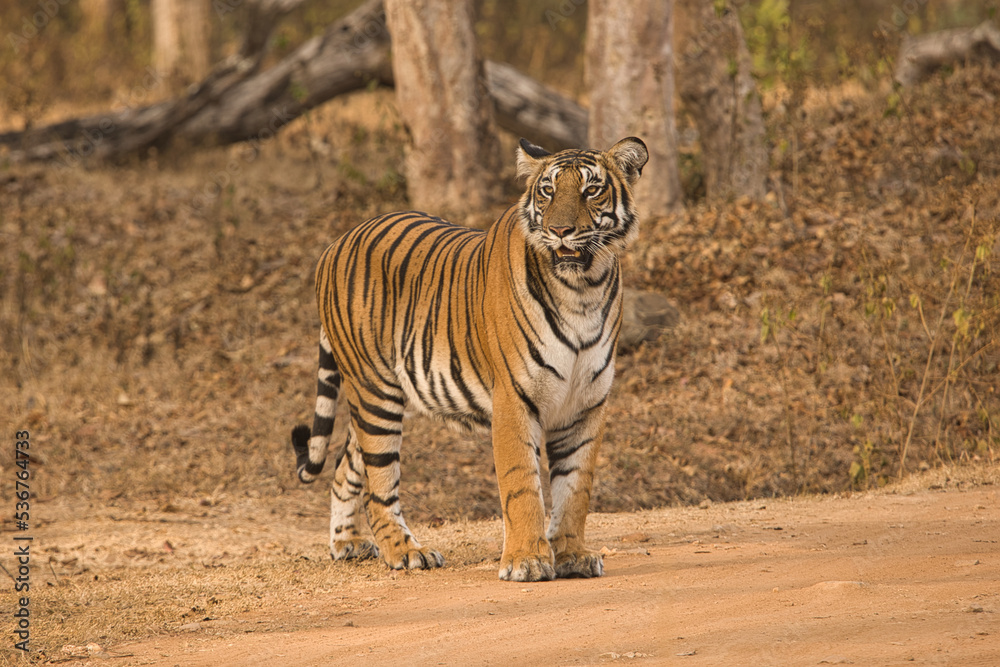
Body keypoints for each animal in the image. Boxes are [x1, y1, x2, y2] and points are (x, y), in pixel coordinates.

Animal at [291, 136, 648, 582]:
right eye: (548, 191)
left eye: (591, 189)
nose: (560, 230)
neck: (583, 289)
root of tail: (334, 245)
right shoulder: (514, 399)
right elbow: (522, 485)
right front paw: (527, 560)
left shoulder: (587, 405)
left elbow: (575, 488)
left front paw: (571, 555)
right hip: (374, 392)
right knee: (380, 484)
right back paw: (406, 551)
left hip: (372, 398)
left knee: (347, 467)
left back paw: (347, 543)